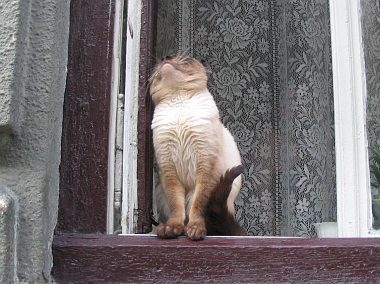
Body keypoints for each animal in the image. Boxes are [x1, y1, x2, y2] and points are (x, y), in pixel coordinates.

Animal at [150, 55, 242, 240]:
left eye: (183, 59)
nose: (166, 58)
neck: (178, 102)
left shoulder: (206, 166)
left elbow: (199, 205)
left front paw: (195, 230)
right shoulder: (168, 168)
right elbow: (176, 206)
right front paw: (171, 229)